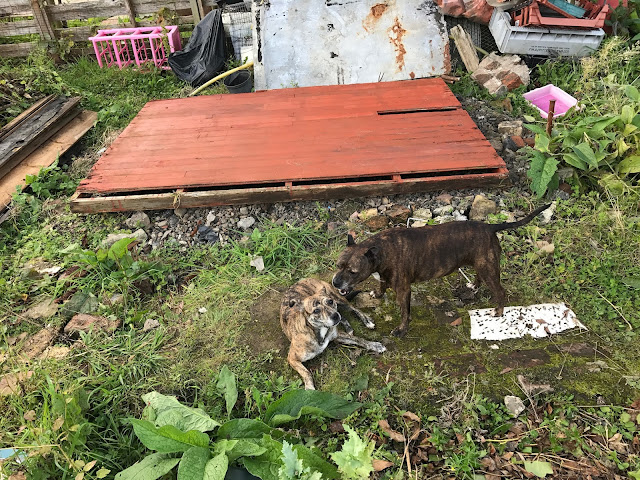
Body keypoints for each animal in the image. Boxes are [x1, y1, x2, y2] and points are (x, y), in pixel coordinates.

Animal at [332, 204, 551, 337]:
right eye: (338, 265)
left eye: (352, 271)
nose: (335, 282)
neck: (381, 250)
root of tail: (490, 227)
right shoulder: (384, 276)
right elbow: (381, 285)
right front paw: (377, 294)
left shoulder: (403, 290)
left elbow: (404, 312)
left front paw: (402, 330)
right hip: (481, 263)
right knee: (479, 276)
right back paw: (473, 286)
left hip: (488, 267)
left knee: (500, 292)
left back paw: (498, 311)